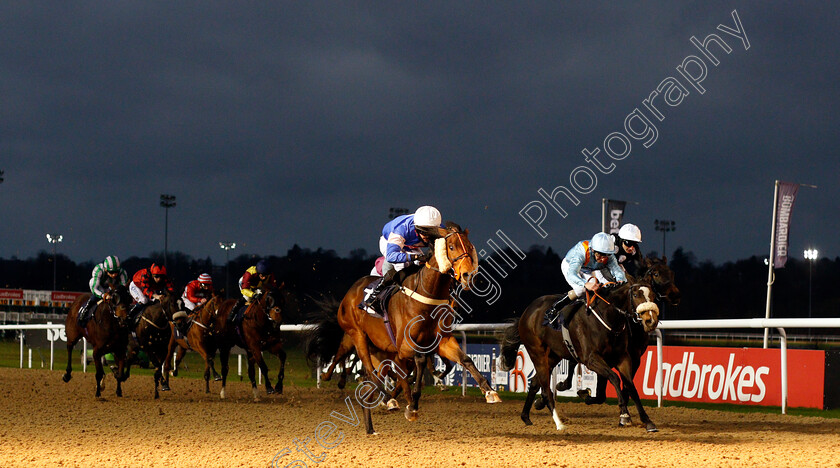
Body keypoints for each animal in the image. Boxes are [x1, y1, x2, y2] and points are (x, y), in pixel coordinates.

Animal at [310, 224, 480, 436]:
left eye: (470, 246)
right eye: (451, 246)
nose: (468, 275)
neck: (426, 295)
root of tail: (350, 293)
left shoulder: (440, 341)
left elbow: (463, 360)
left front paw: (489, 391)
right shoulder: (405, 347)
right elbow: (419, 364)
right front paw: (413, 403)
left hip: (380, 351)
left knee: (372, 379)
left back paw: (372, 424)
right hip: (357, 336)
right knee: (365, 369)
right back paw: (379, 396)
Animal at [498, 282, 664, 432]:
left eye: (653, 296)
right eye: (635, 295)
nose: (651, 320)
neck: (607, 318)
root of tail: (527, 312)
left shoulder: (623, 358)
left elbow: (631, 387)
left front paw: (647, 421)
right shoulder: (591, 359)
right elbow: (614, 378)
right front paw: (624, 415)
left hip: (552, 356)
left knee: (534, 383)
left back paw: (526, 416)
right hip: (537, 353)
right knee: (546, 390)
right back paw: (559, 423)